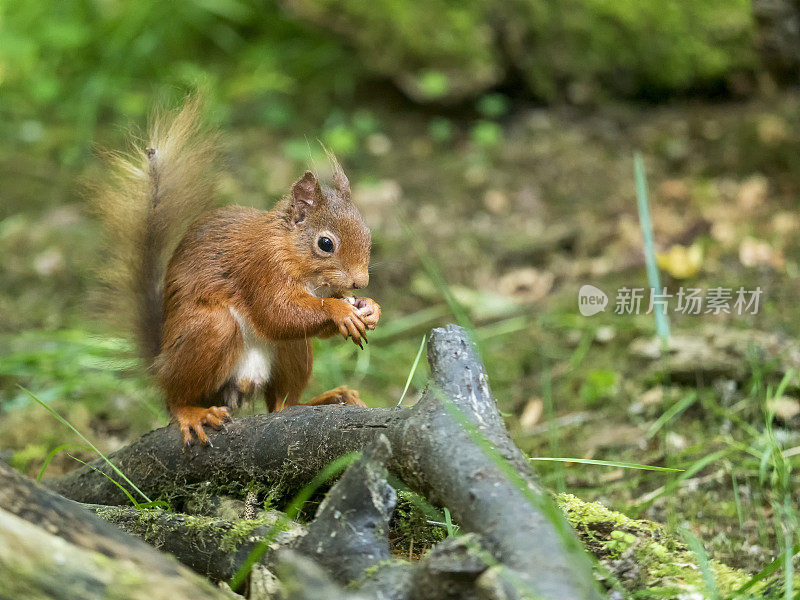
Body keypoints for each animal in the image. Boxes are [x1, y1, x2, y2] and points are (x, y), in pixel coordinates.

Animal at [92, 98, 380, 442]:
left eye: (368, 234)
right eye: (326, 244)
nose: (361, 282)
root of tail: (161, 363)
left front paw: (370, 308)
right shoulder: (261, 268)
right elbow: (276, 313)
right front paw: (341, 311)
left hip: (294, 351)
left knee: (282, 404)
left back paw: (327, 398)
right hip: (209, 331)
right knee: (178, 397)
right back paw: (192, 413)